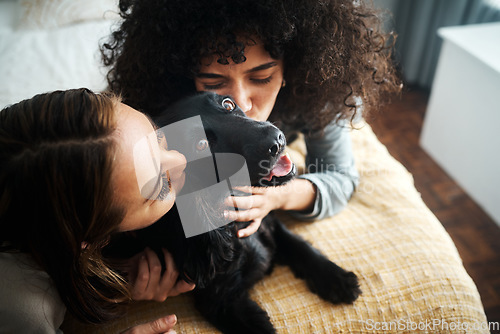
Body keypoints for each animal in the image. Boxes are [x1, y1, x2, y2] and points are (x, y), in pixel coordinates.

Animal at [125, 92, 362, 332]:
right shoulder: (221, 301)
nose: (276, 140)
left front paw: (336, 278)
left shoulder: (268, 222)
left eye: (228, 104)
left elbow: (300, 246)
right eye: (201, 144)